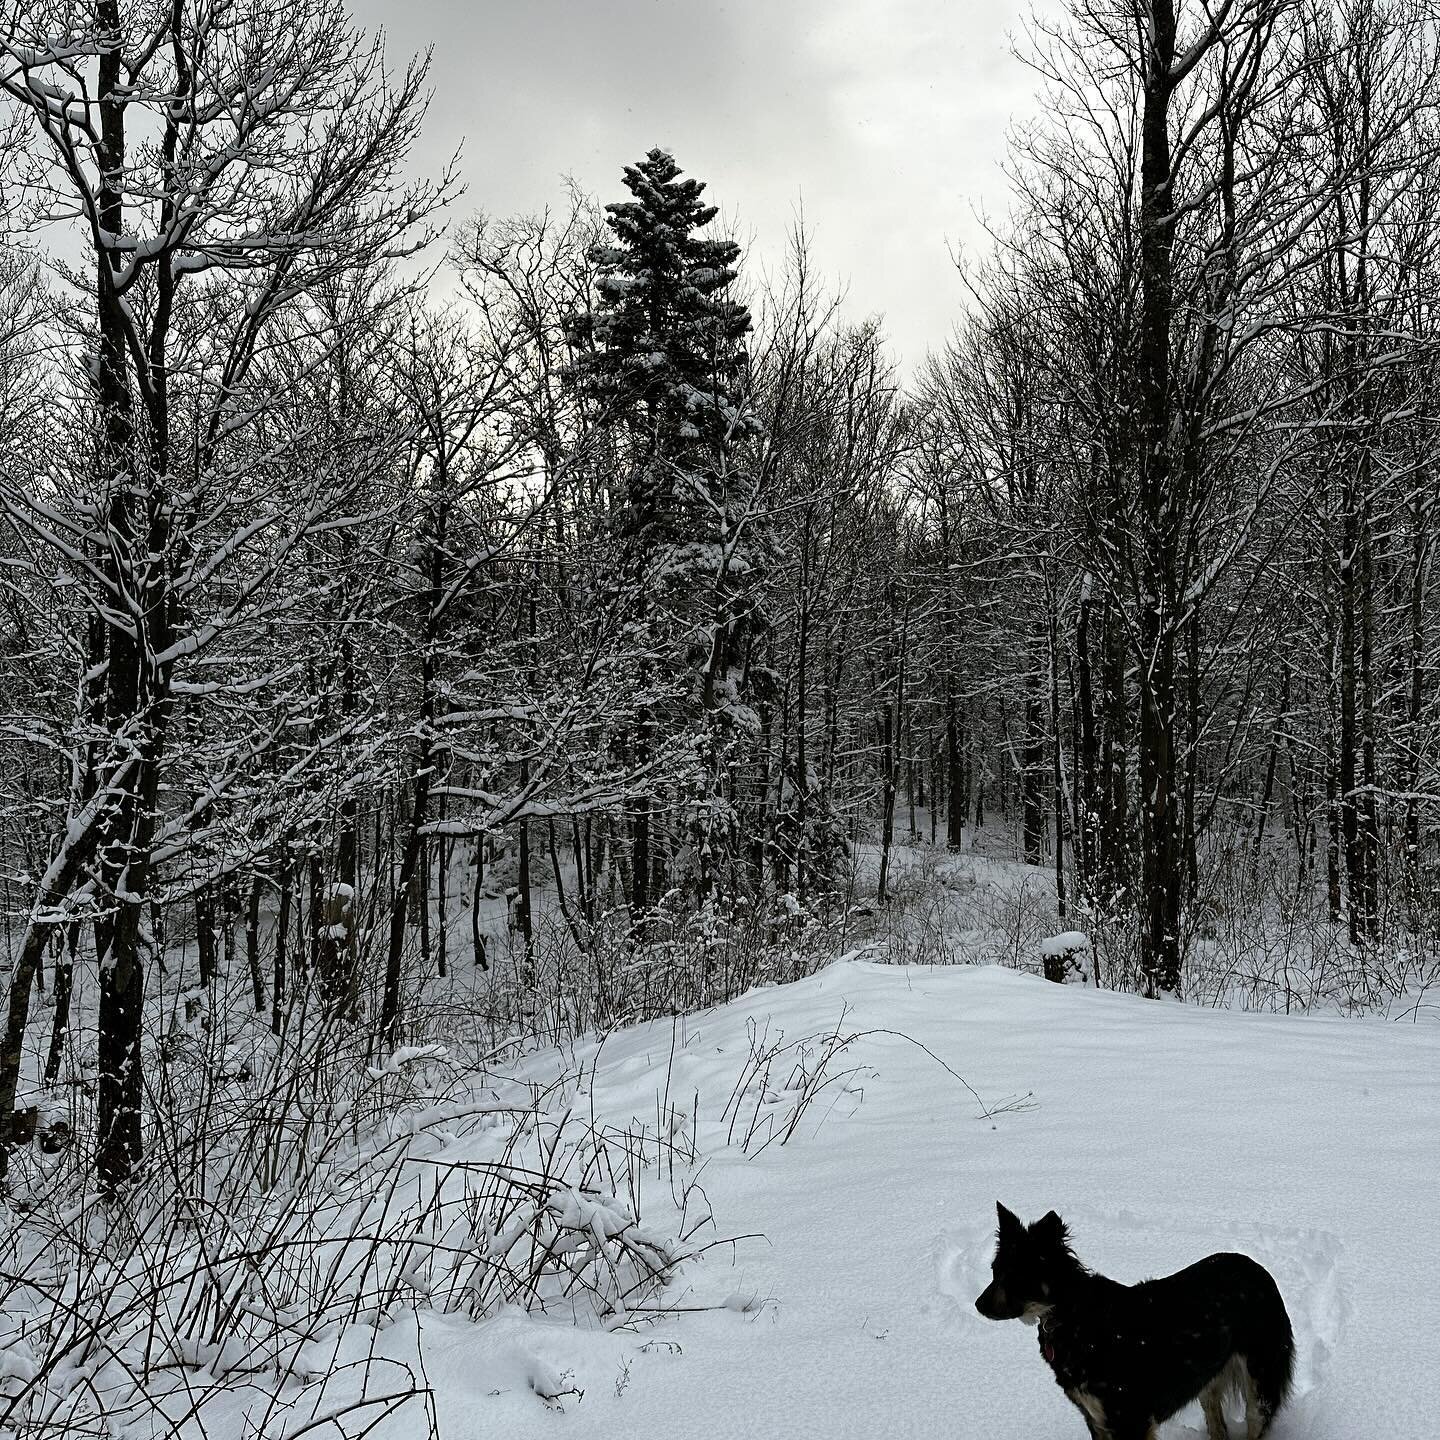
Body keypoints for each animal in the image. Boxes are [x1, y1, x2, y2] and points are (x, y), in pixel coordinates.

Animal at [979, 1203, 1296, 1440]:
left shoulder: (1128, 1419)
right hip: (1209, 1377)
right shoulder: (1097, 1418)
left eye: (1017, 1277)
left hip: (1260, 1382)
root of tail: (1258, 1269)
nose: (978, 1305)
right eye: (994, 1271)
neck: (1073, 1316)